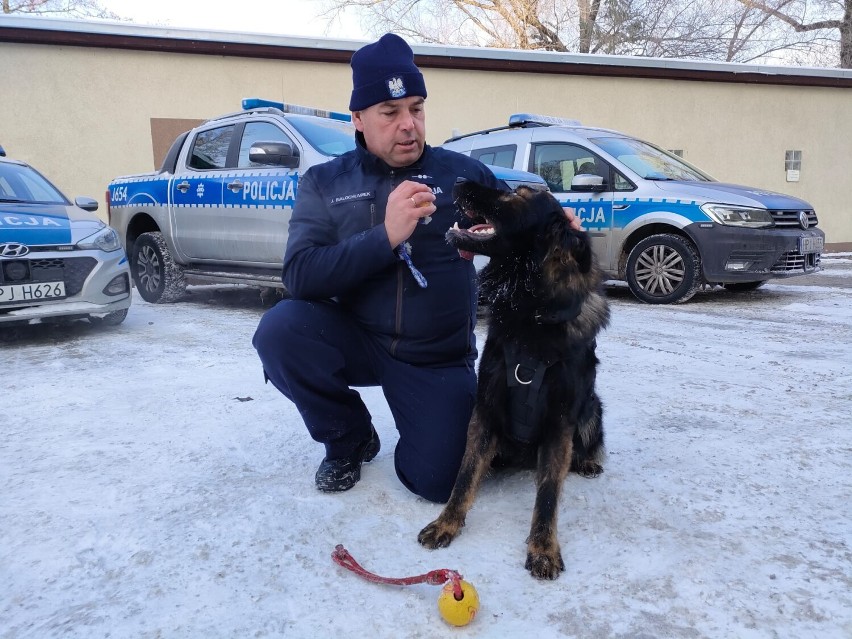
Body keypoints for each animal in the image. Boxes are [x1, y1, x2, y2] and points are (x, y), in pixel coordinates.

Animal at [418, 179, 604, 580]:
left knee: (586, 446)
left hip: (593, 407)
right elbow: (465, 474)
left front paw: (543, 548)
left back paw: (586, 462)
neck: (530, 310)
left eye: (520, 194)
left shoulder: (560, 421)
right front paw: (447, 523)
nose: (458, 182)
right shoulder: (486, 408)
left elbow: (548, 494)